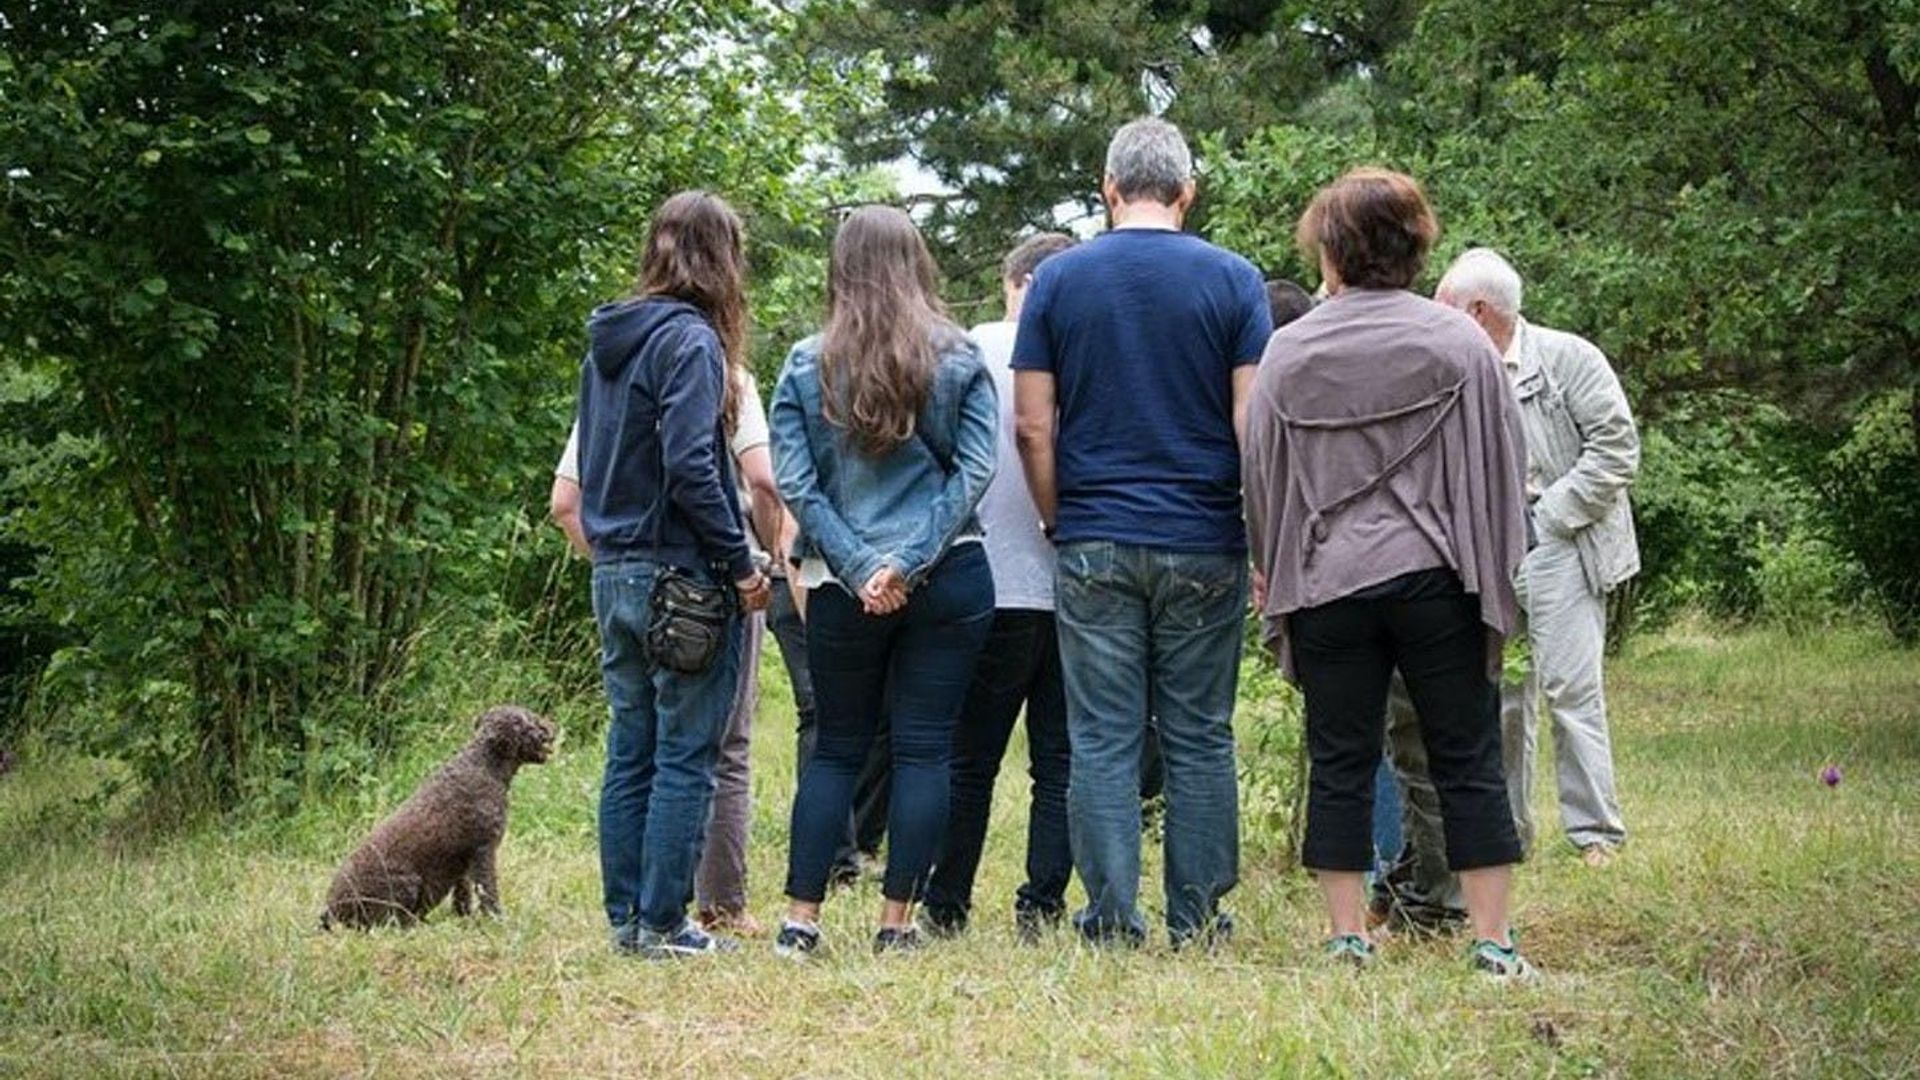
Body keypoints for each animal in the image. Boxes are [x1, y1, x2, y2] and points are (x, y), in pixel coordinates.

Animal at [322, 699, 556, 926]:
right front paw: (498, 922)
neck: (485, 765)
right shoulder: (483, 850)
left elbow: (463, 896)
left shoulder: (465, 861)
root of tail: (329, 912)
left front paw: (464, 920)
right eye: (530, 720)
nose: (553, 728)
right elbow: (488, 893)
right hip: (406, 886)